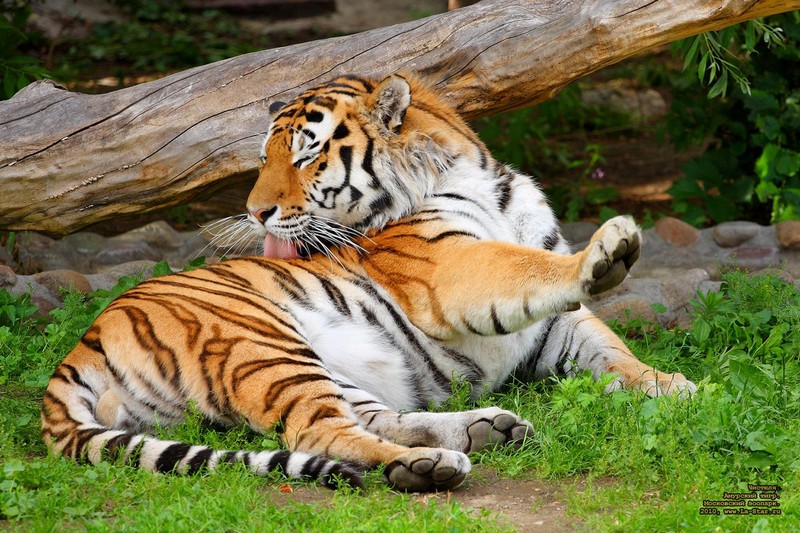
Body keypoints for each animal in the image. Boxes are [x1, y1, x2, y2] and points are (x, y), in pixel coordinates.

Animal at [41, 73, 696, 492]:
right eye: (263, 159)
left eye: (304, 156)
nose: (255, 213)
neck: (476, 177)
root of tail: (79, 349)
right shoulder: (449, 270)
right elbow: (523, 267)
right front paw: (607, 251)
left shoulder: (559, 322)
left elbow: (612, 350)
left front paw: (676, 387)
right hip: (260, 343)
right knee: (320, 433)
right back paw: (433, 465)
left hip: (326, 367)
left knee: (370, 417)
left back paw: (486, 429)